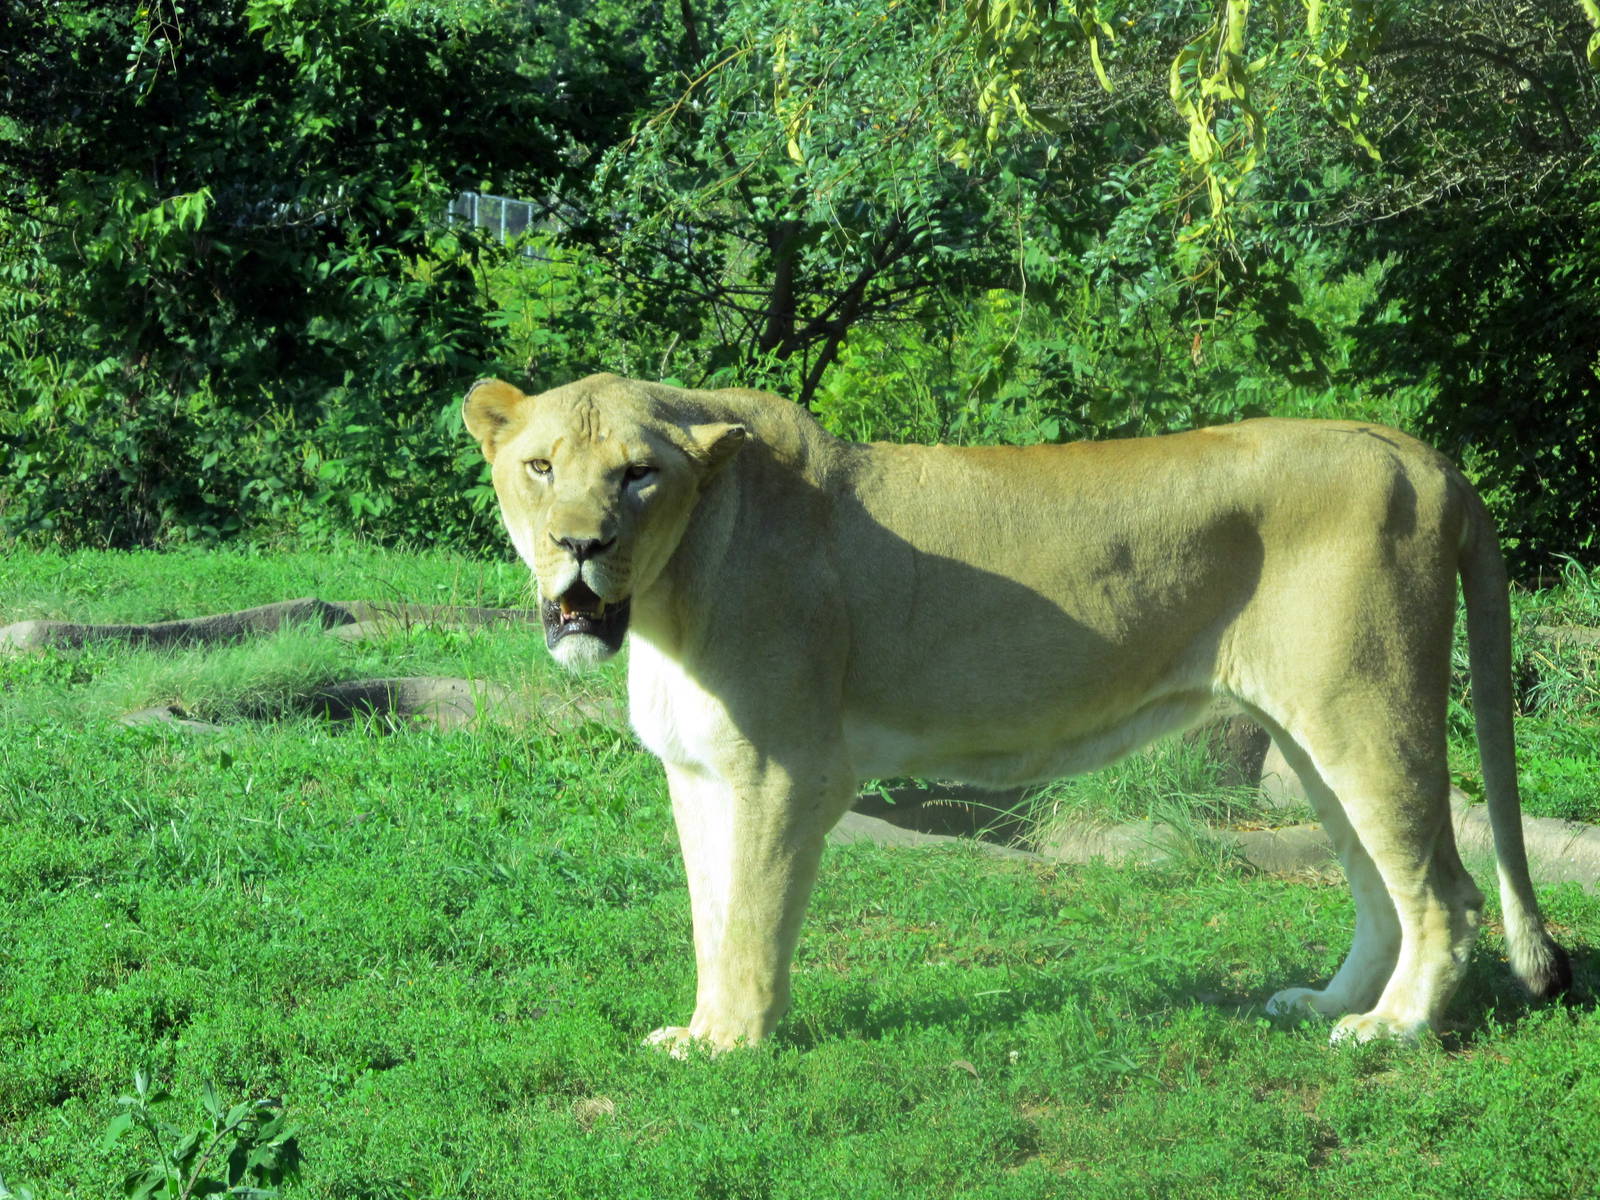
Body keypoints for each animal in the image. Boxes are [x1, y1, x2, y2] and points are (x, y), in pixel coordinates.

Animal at [462, 372, 1570, 1053]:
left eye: (638, 474)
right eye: (541, 466)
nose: (579, 544)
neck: (666, 597)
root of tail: (1418, 453)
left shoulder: (787, 771)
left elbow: (751, 918)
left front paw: (735, 1043)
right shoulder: (698, 772)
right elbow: (710, 916)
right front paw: (699, 1032)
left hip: (1366, 708)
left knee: (1444, 892)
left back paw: (1392, 1030)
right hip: (1313, 729)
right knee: (1379, 884)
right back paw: (1329, 1005)